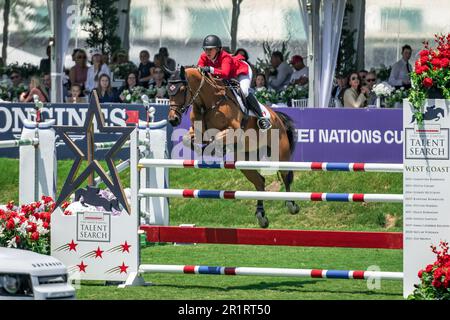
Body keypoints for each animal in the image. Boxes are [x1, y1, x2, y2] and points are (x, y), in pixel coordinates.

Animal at [165, 67, 298, 228]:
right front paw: (206, 149)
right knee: (259, 182)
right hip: (245, 161)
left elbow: (217, 138)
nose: (173, 119)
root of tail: (276, 116)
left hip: (280, 154)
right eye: (168, 90)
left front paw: (215, 149)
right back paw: (261, 216)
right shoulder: (197, 132)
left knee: (286, 175)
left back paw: (291, 205)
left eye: (182, 89)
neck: (208, 103)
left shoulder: (234, 131)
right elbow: (187, 139)